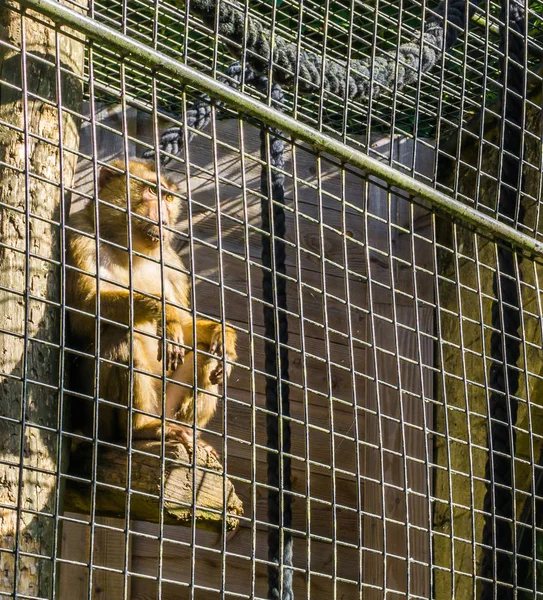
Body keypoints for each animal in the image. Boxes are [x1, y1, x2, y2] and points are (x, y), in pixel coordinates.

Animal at [67, 158, 237, 454]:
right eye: (151, 191)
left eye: (167, 197)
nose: (163, 216)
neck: (130, 248)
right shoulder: (79, 232)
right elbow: (82, 314)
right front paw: (163, 312)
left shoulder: (171, 262)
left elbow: (188, 328)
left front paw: (224, 336)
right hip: (98, 420)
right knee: (122, 336)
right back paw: (139, 429)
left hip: (167, 406)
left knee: (204, 352)